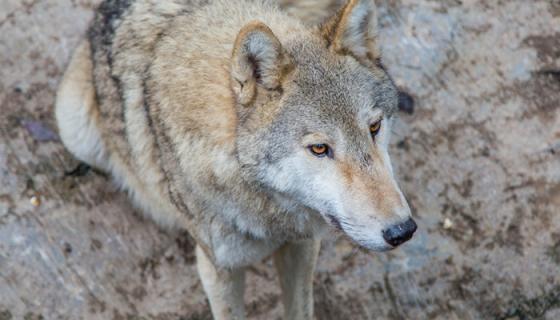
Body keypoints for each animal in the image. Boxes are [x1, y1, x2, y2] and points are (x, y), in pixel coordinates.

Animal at [55, 0, 416, 318]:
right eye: (319, 149)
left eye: (374, 127)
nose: (402, 231)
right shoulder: (220, 269)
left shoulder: (301, 245)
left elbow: (300, 310)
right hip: (75, 128)